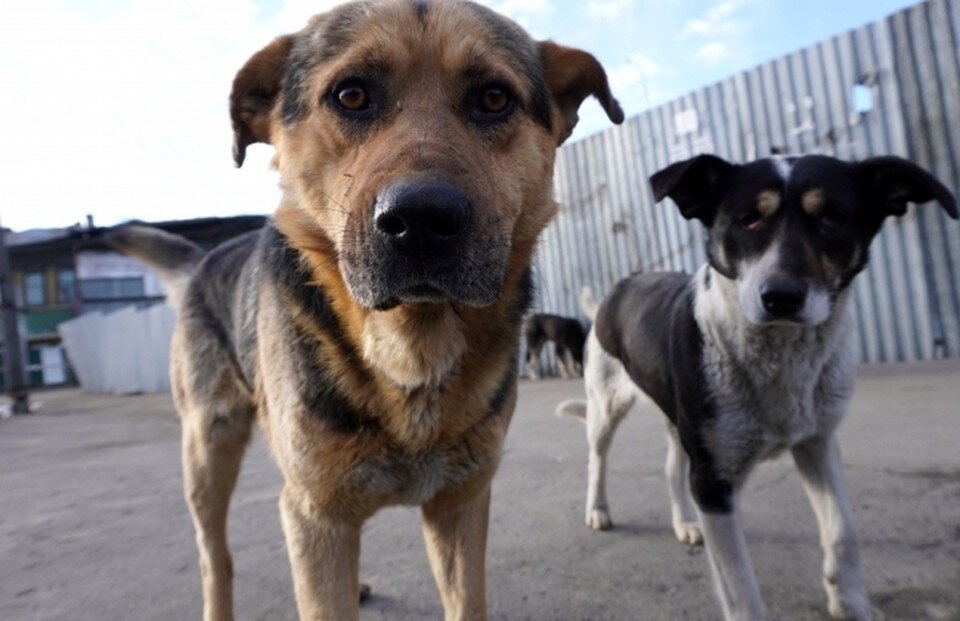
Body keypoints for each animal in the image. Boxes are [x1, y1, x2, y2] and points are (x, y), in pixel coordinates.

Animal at [109, 2, 628, 616]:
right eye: (351, 95)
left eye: (494, 97)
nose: (422, 220)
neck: (410, 350)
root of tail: (204, 260)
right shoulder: (316, 511)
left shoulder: (460, 503)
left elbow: (464, 599)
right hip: (208, 452)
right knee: (216, 559)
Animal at [560, 154, 956, 620]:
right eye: (747, 219)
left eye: (832, 218)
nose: (780, 297)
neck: (779, 354)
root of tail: (618, 288)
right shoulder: (713, 482)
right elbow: (741, 590)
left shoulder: (817, 443)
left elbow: (843, 529)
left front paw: (850, 601)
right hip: (606, 406)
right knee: (597, 460)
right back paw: (598, 510)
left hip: (679, 421)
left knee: (672, 467)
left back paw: (684, 523)